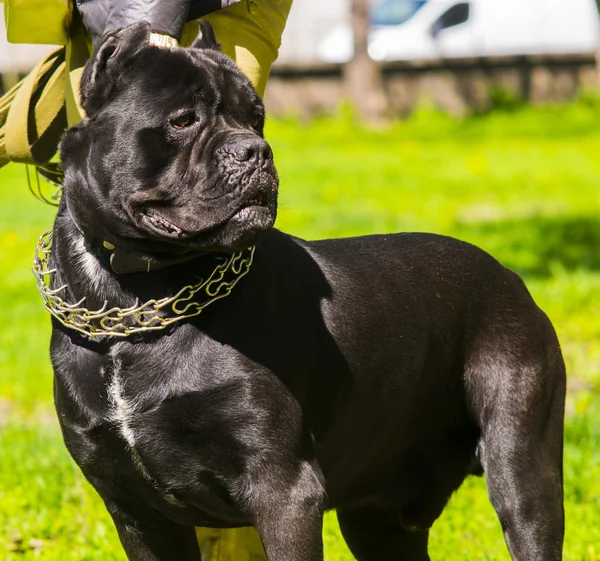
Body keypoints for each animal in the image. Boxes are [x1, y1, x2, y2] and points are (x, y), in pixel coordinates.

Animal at [49, 19, 564, 556]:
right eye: (183, 120)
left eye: (256, 120)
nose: (256, 150)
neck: (135, 297)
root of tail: (511, 277)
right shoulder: (136, 512)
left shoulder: (283, 490)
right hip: (377, 521)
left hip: (520, 466)